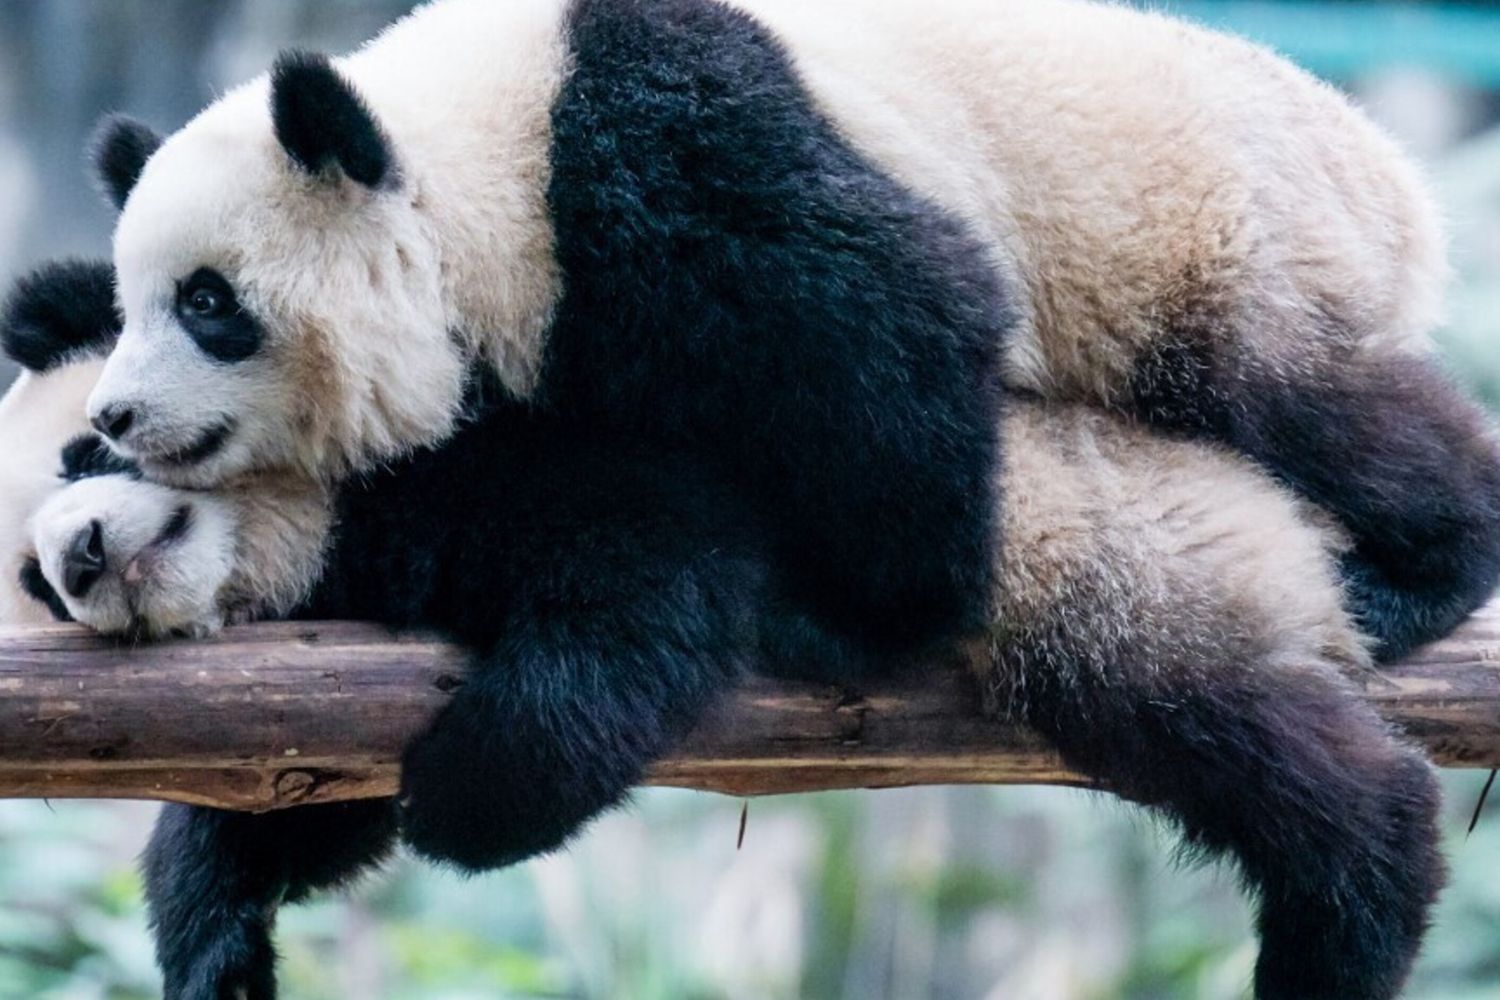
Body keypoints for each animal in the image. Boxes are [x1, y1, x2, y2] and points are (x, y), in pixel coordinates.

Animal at [5, 260, 1445, 1000]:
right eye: (27, 584)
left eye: (88, 450)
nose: (80, 558)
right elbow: (303, 795)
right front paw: (219, 946)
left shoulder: (517, 444)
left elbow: (652, 583)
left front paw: (467, 799)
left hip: (1114, 564)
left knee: (1261, 752)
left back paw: (1354, 915)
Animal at [80, 0, 1500, 669]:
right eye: (128, 304)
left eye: (207, 302)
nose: (112, 416)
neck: (464, 161)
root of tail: (1392, 172)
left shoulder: (656, 153)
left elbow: (902, 316)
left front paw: (867, 617)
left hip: (1219, 236)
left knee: (1309, 405)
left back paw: (1422, 567)